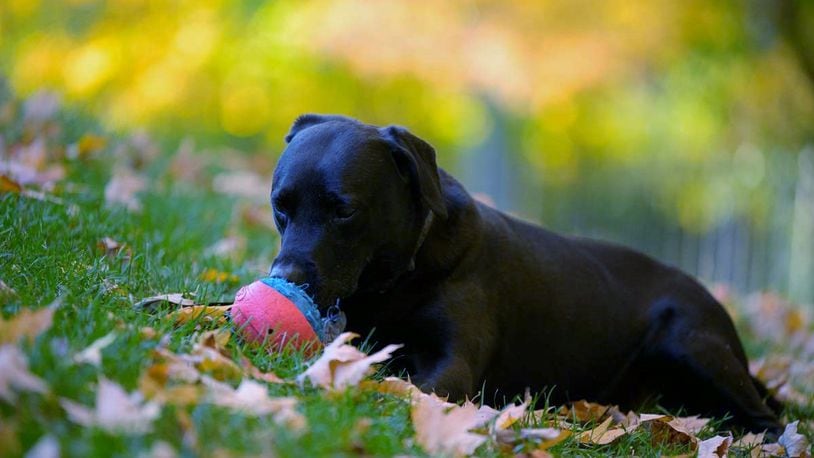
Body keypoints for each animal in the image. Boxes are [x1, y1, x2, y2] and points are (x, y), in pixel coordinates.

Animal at [270, 113, 784, 432]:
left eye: (344, 211)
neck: (401, 278)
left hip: (691, 342)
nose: (287, 276)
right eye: (280, 207)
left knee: (770, 420)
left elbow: (406, 387)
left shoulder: (453, 366)